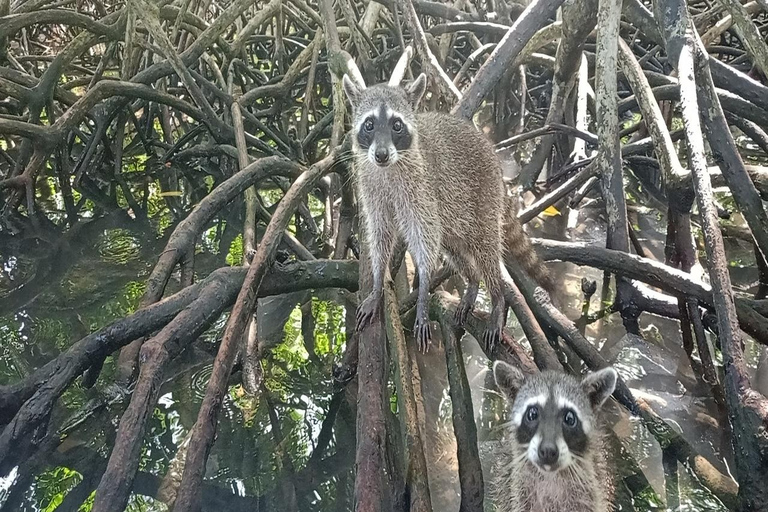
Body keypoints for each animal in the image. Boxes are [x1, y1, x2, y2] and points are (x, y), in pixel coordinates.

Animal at [342, 48, 552, 352]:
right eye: (369, 125)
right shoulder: (373, 189)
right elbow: (380, 234)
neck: (388, 168)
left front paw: (422, 295)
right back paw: (473, 281)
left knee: (486, 250)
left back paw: (497, 298)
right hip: (454, 217)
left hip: (483, 199)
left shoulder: (421, 191)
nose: (381, 154)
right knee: (454, 248)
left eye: (396, 125)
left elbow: (424, 243)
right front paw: (379, 283)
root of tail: (491, 152)